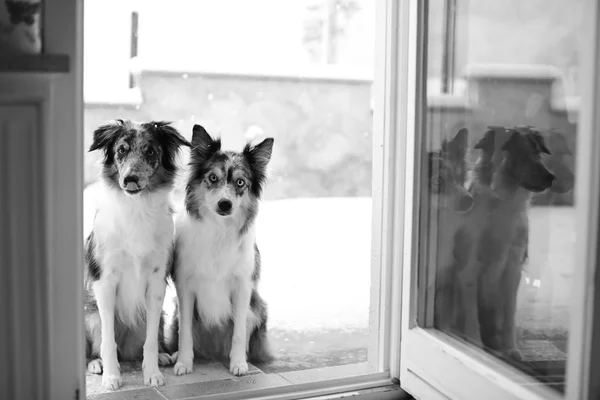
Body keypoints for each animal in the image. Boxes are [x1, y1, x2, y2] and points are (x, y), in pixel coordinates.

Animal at [84, 119, 190, 390]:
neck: (137, 208)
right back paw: (96, 363)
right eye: (121, 150)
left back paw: (163, 355)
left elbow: (150, 342)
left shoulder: (156, 281)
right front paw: (112, 377)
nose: (130, 178)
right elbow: (108, 341)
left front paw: (152, 374)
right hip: (91, 316)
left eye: (150, 151)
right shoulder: (105, 281)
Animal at [170, 126, 276, 378]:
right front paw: (184, 363)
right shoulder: (185, 287)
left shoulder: (242, 287)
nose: (225, 204)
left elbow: (238, 332)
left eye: (240, 182)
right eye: (212, 178)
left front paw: (238, 364)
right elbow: (185, 332)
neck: (219, 229)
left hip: (258, 308)